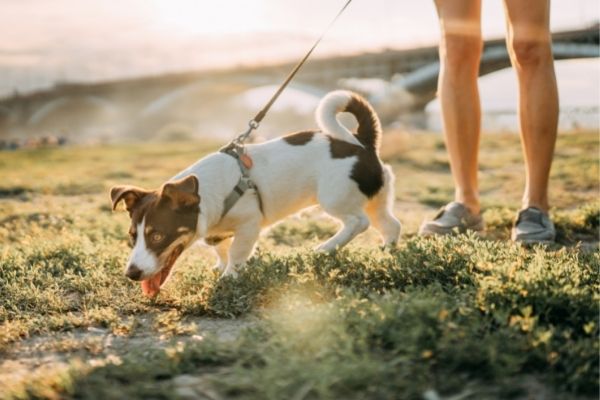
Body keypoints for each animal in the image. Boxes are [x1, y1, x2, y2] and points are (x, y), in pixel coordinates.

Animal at [110, 90, 400, 296]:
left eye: (157, 235)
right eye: (132, 236)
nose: (131, 274)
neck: (208, 193)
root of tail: (361, 141)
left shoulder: (249, 224)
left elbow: (237, 254)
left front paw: (229, 277)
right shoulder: (217, 232)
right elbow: (221, 249)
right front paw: (221, 266)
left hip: (334, 197)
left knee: (358, 222)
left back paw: (325, 248)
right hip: (375, 198)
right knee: (391, 224)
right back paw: (388, 252)